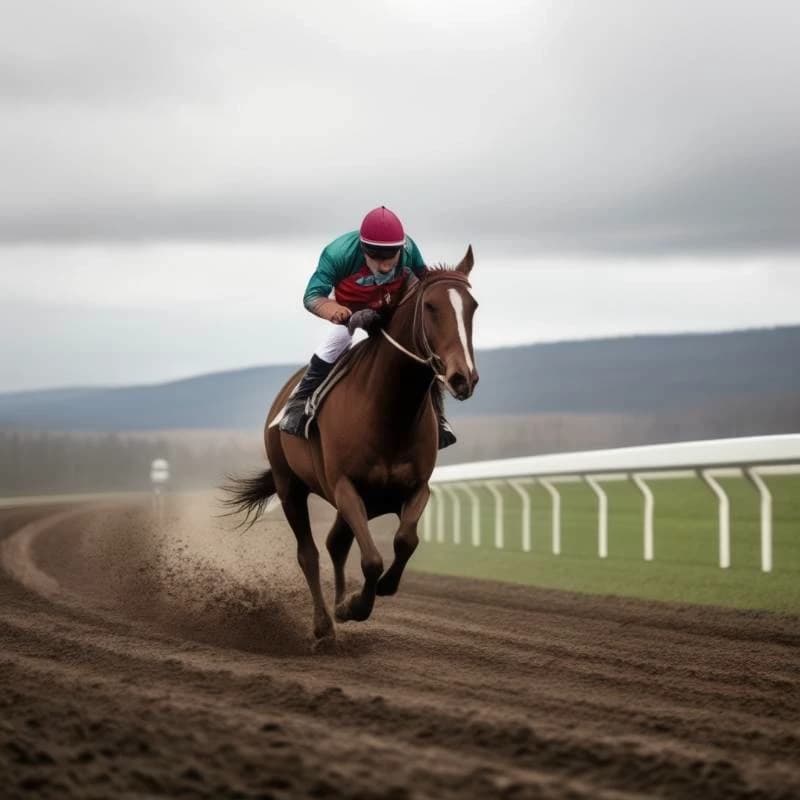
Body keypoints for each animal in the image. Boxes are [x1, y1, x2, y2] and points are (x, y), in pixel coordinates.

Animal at [224, 247, 479, 644]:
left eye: (473, 306)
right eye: (431, 307)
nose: (462, 378)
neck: (390, 413)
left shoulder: (415, 488)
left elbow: (405, 541)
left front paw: (371, 593)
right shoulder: (345, 486)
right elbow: (371, 559)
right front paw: (354, 606)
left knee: (335, 542)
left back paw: (338, 602)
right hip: (289, 486)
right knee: (309, 553)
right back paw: (323, 623)